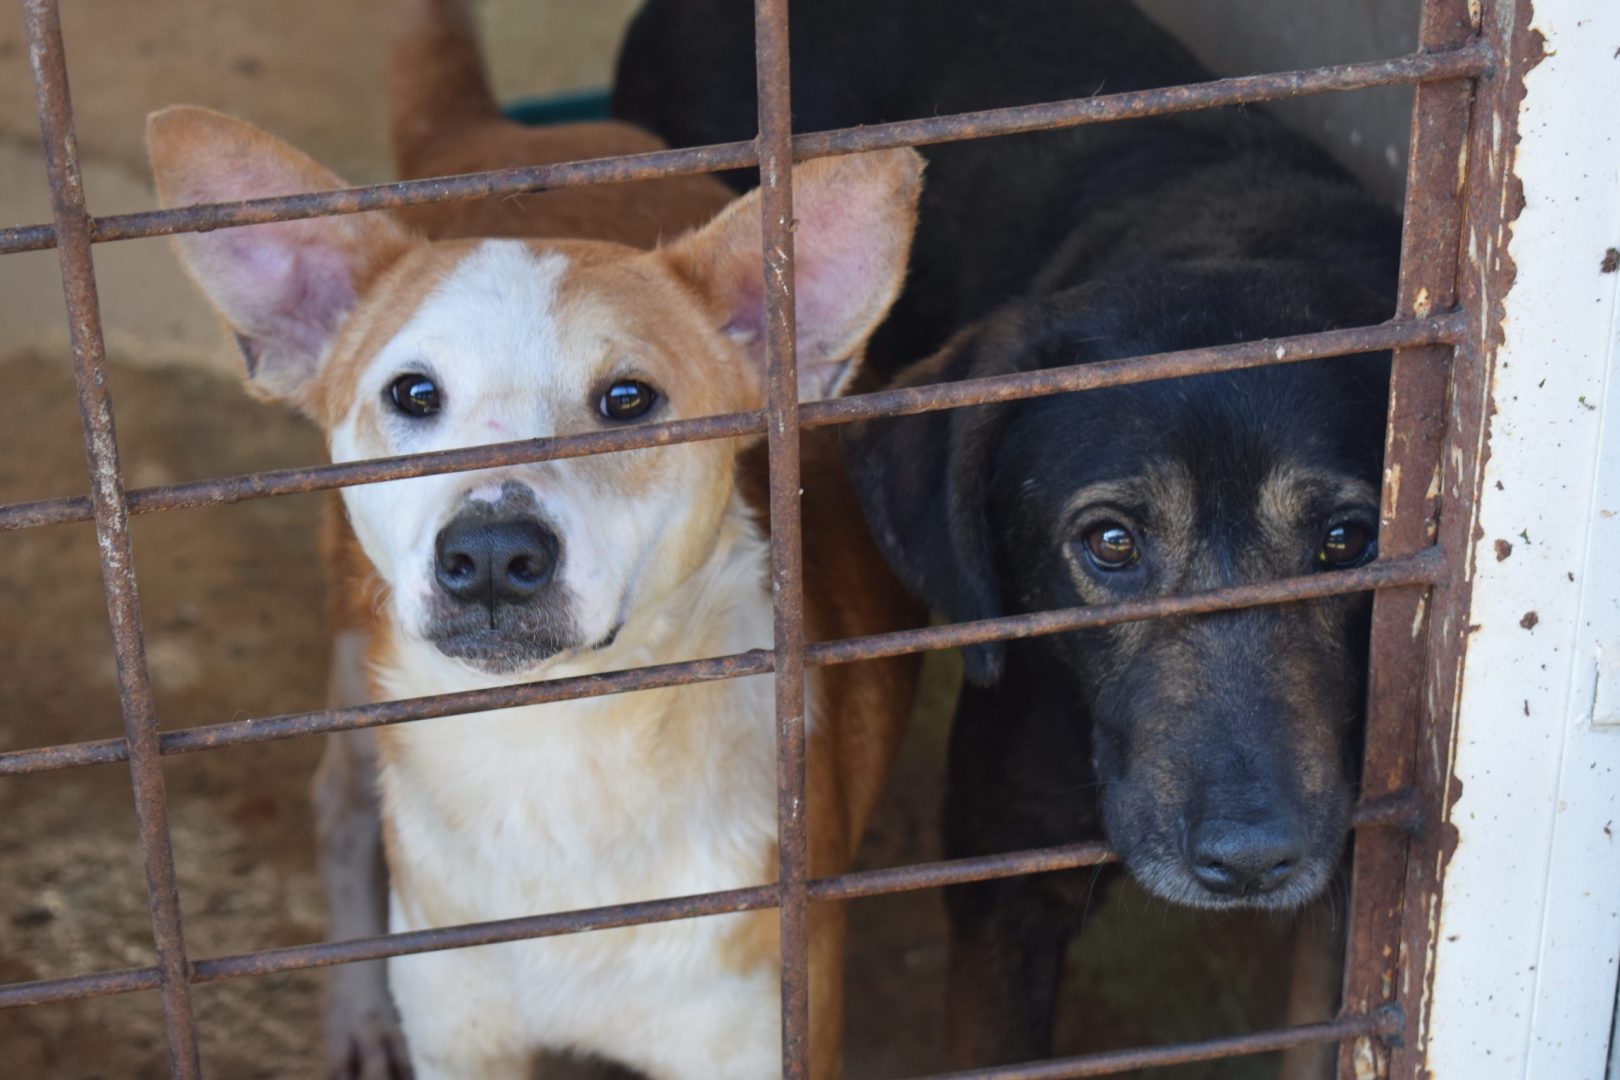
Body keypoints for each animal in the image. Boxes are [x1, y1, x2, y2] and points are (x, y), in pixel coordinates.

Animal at [145, 4, 933, 1075]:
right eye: (414, 393)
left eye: (629, 400)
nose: (489, 556)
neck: (550, 756)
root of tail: (491, 132)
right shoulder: (460, 1036)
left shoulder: (761, 1030)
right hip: (353, 651)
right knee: (338, 801)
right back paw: (357, 1011)